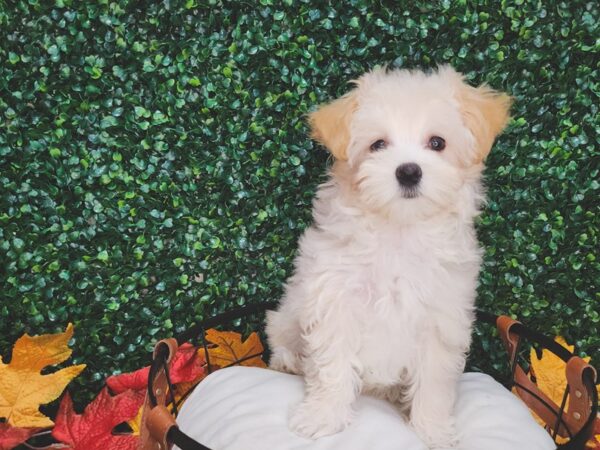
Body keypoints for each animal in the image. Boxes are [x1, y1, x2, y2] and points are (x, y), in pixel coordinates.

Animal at [266, 65, 510, 448]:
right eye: (378, 144)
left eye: (437, 143)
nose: (408, 171)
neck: (398, 230)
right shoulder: (336, 302)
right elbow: (332, 368)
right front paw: (322, 418)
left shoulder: (441, 319)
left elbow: (435, 383)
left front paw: (432, 432)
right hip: (289, 311)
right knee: (278, 332)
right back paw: (288, 361)